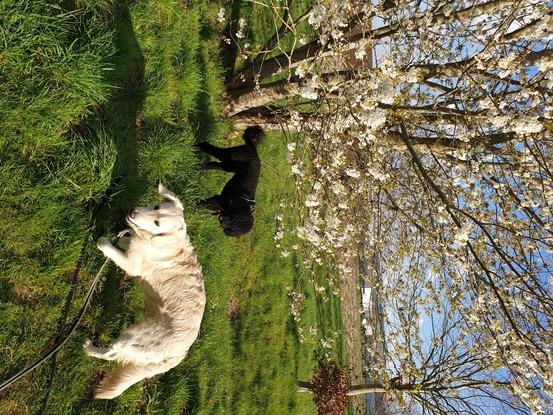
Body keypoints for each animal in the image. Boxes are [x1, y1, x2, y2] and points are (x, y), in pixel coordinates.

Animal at [85, 184, 206, 400]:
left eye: (157, 223)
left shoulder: (132, 265)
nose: (133, 212)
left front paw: (103, 240)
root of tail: (179, 355)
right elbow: (125, 242)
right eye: (156, 206)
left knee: (112, 353)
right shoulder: (134, 246)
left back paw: (89, 348)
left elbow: (107, 246)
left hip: (133, 336)